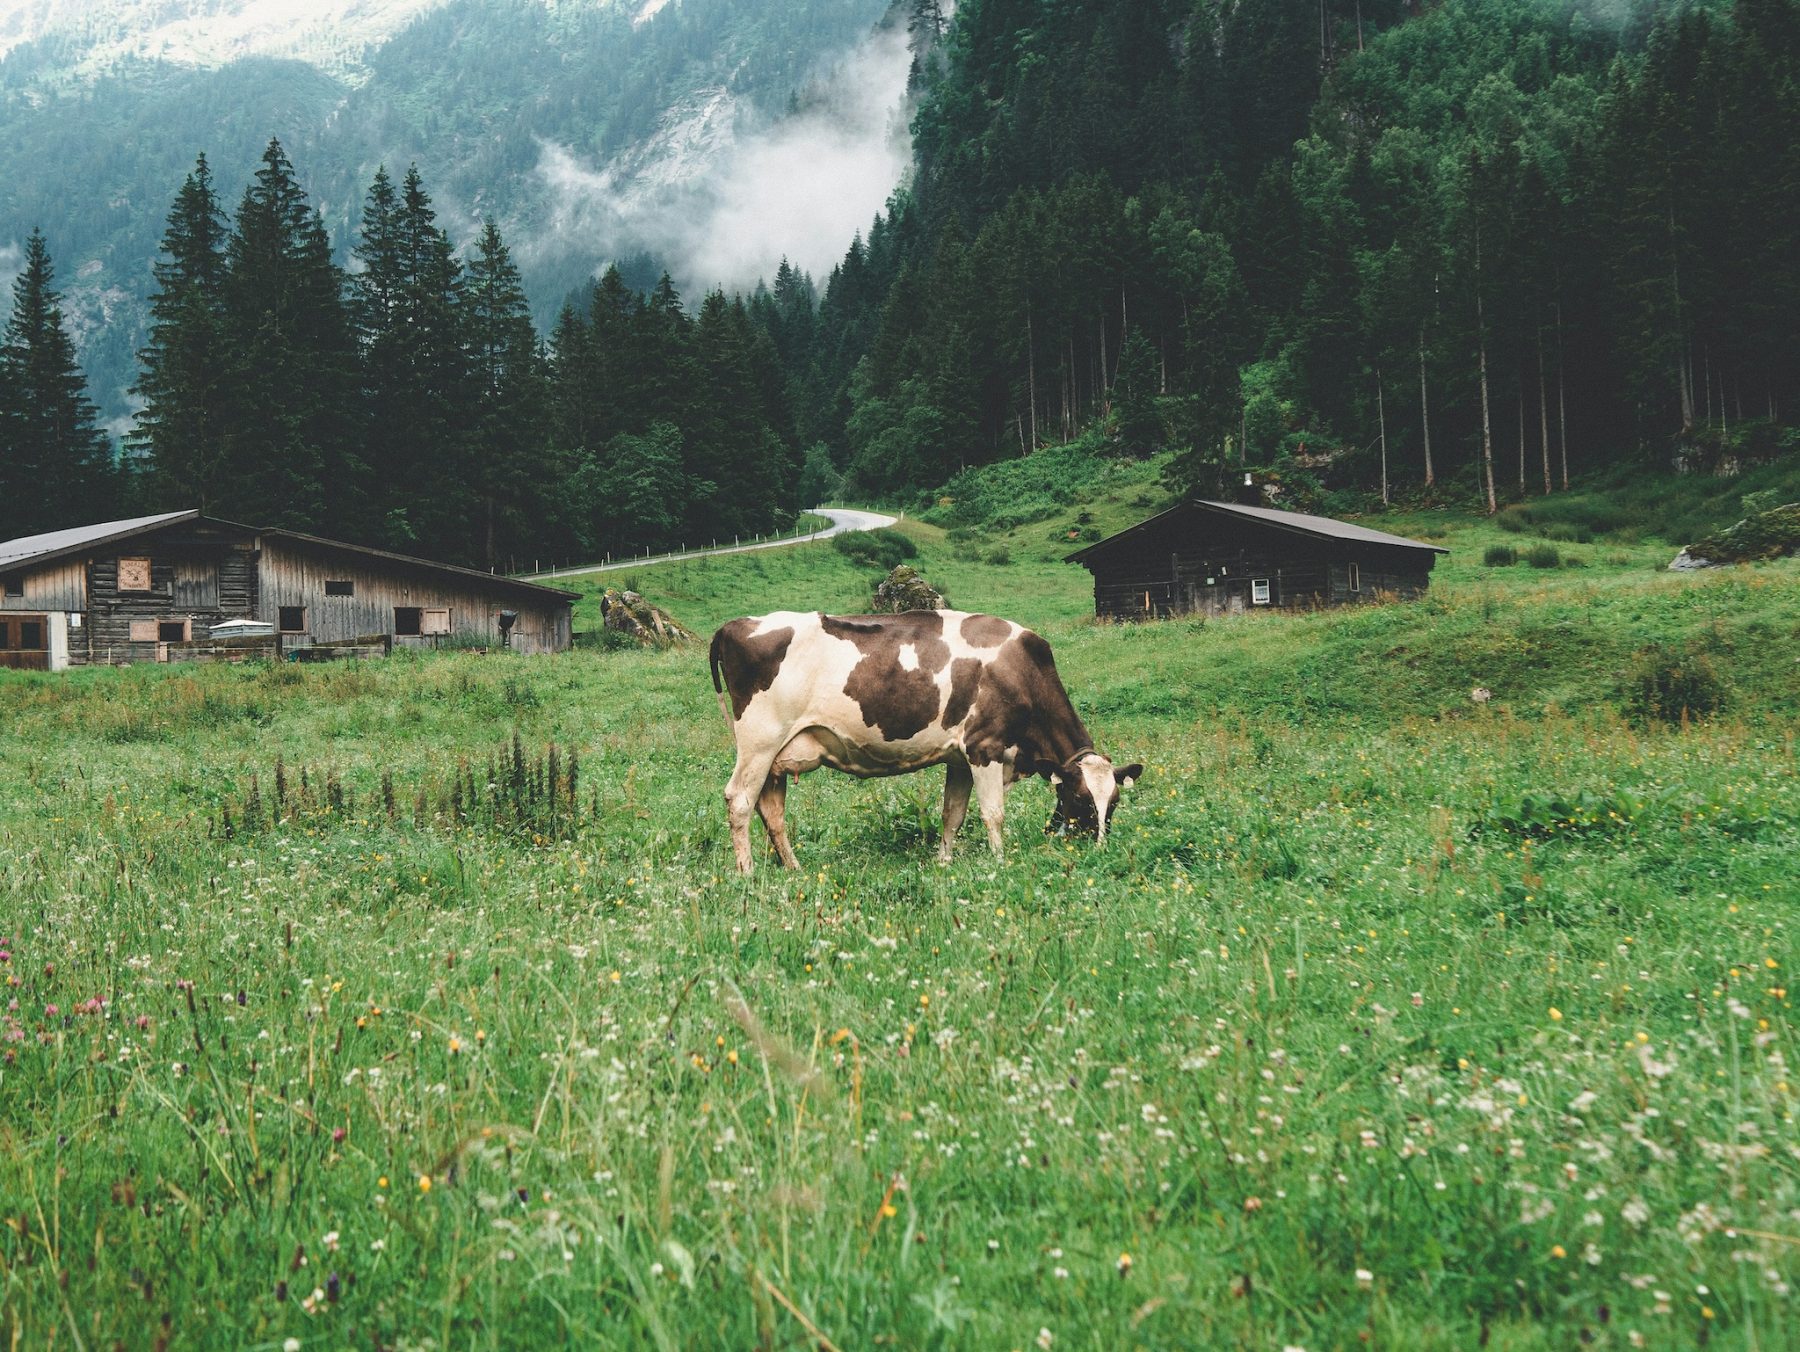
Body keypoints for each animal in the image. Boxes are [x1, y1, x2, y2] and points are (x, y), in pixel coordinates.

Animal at [705, 612, 1137, 878]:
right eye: (1080, 798)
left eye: (1114, 802)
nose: (1100, 848)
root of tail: (735, 624)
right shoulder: (984, 747)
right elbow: (992, 814)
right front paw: (1000, 862)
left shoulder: (960, 758)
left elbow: (953, 814)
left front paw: (944, 860)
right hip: (759, 741)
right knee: (740, 800)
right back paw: (747, 872)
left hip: (778, 755)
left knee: (771, 810)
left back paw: (794, 868)